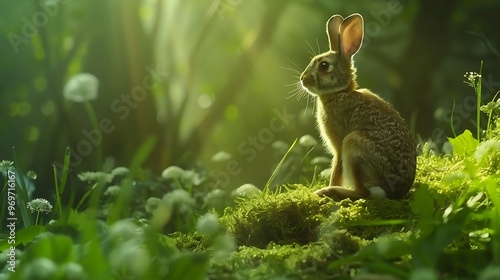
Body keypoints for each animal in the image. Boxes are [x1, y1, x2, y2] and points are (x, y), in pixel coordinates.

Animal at [298, 13, 416, 200]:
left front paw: (329, 186)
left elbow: (337, 168)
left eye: (324, 65)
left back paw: (330, 191)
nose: (303, 79)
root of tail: (394, 192)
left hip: (354, 146)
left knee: (363, 193)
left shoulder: (339, 145)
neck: (340, 92)